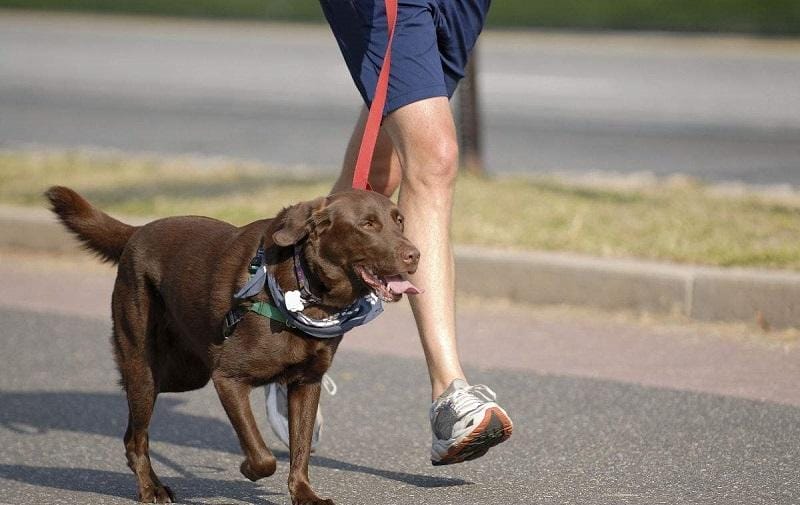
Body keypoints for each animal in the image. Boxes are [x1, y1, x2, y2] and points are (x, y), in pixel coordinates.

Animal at [47, 186, 422, 504]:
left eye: (399, 220)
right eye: (367, 225)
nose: (415, 255)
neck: (305, 289)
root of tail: (137, 232)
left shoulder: (307, 383)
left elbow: (299, 450)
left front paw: (304, 495)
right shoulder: (227, 378)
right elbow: (263, 455)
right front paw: (247, 469)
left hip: (183, 374)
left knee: (132, 432)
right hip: (146, 368)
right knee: (136, 436)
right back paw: (151, 489)